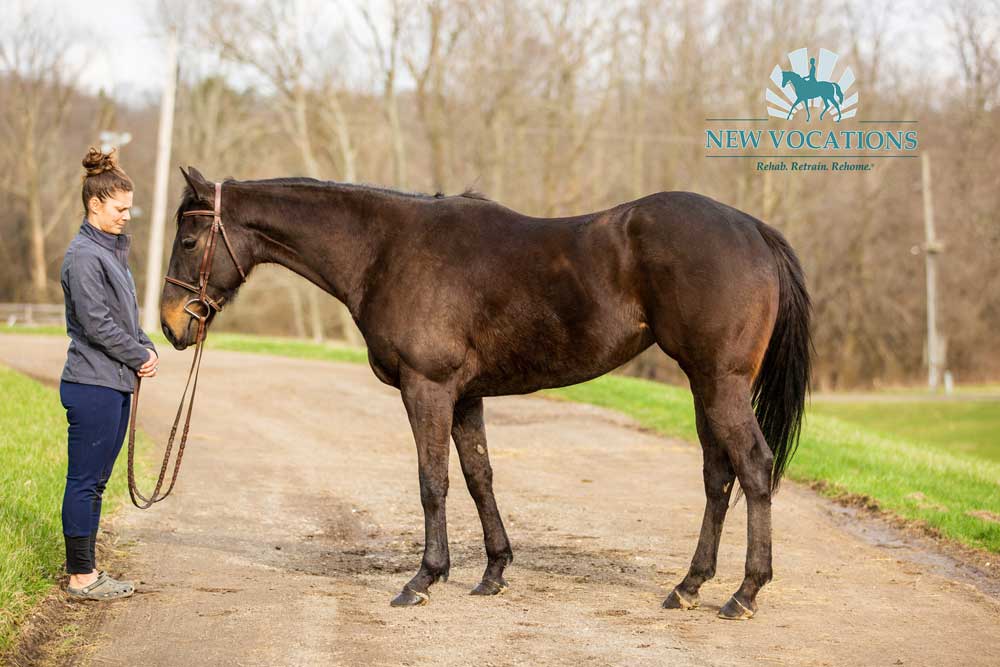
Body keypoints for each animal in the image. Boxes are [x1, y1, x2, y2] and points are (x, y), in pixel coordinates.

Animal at [162, 167, 812, 620]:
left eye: (189, 241)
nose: (171, 325)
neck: (385, 249)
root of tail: (752, 229)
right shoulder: (465, 397)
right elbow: (479, 477)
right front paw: (494, 572)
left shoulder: (426, 389)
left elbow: (433, 482)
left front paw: (423, 579)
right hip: (705, 386)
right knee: (718, 477)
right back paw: (688, 586)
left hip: (721, 384)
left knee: (754, 468)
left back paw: (744, 593)